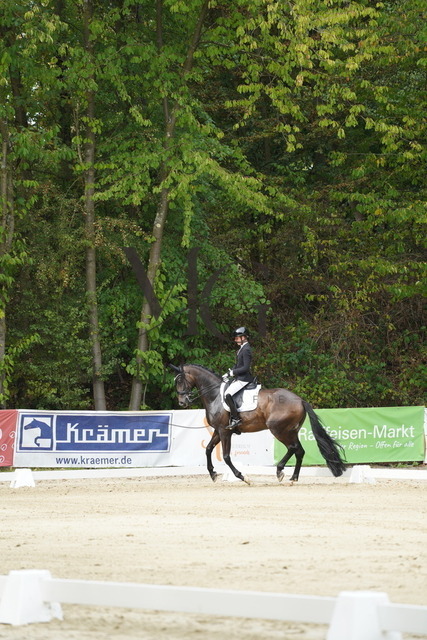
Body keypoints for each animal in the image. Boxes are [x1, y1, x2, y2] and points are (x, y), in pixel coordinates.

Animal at [170, 363, 346, 485]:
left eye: (180, 381)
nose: (182, 402)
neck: (214, 396)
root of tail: (300, 400)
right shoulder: (218, 431)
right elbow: (207, 449)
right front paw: (213, 474)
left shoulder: (225, 432)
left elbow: (226, 457)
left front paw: (243, 477)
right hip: (291, 431)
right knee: (299, 451)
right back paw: (293, 478)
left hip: (278, 430)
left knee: (292, 448)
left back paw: (280, 471)